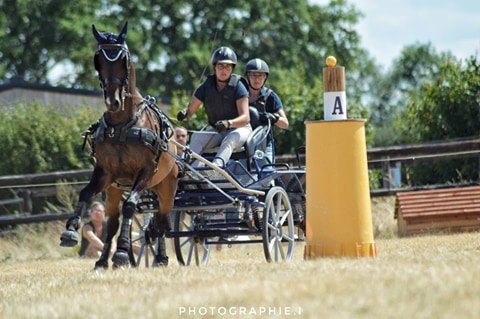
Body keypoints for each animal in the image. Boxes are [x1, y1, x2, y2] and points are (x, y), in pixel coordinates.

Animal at [60, 21, 178, 268]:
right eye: (98, 60)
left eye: (123, 60)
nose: (113, 101)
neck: (122, 125)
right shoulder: (105, 173)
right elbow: (85, 193)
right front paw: (71, 231)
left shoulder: (145, 172)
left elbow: (130, 206)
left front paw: (123, 250)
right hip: (115, 190)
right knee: (114, 222)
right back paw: (103, 261)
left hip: (166, 187)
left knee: (162, 220)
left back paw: (161, 257)